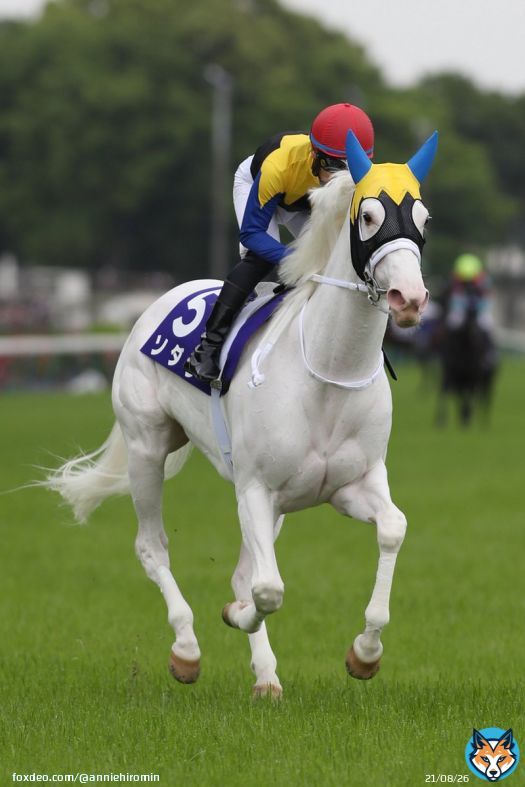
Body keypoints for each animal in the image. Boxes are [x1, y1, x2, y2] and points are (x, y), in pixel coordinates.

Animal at [41, 129, 437, 697]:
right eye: (368, 216)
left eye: (424, 218)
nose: (411, 298)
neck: (327, 371)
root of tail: (161, 298)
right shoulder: (253, 488)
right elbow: (266, 589)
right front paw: (233, 615)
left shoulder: (351, 485)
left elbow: (392, 529)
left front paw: (364, 654)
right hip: (147, 446)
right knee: (152, 547)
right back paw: (186, 650)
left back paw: (266, 677)